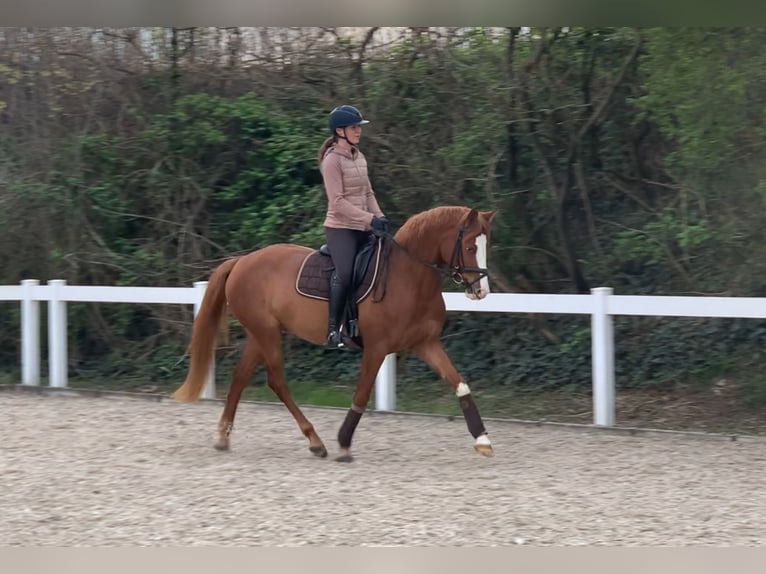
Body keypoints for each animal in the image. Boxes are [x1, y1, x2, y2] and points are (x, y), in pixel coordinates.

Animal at [172, 207, 498, 464]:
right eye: (470, 246)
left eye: (486, 245)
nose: (481, 292)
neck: (408, 278)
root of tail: (241, 261)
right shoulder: (377, 348)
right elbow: (361, 394)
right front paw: (344, 443)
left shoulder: (426, 344)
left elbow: (459, 383)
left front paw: (482, 440)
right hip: (266, 333)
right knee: (277, 381)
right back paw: (315, 441)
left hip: (261, 332)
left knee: (241, 377)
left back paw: (223, 436)